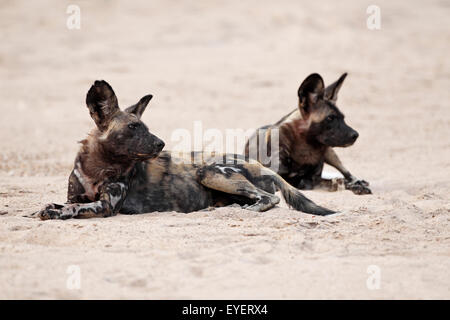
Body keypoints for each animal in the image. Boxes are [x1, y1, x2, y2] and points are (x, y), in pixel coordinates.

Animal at [36, 80, 334, 220]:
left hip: (211, 172)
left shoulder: (106, 206)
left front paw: (55, 214)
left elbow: (71, 210)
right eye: (133, 127)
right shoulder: (75, 197)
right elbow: (60, 203)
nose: (161, 143)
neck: (97, 167)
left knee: (268, 198)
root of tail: (260, 165)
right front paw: (47, 209)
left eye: (144, 126)